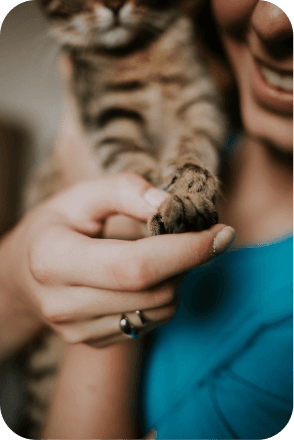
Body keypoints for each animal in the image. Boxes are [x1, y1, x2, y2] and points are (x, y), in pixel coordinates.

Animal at [24, 0, 227, 434]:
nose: (115, 6)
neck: (140, 56)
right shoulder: (111, 124)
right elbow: (137, 170)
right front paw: (166, 202)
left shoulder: (201, 104)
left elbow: (195, 147)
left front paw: (190, 189)